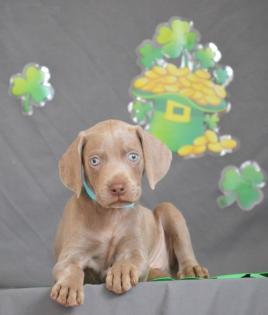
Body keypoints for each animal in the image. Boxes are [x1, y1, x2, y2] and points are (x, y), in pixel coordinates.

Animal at [50, 119, 209, 308]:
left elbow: (130, 260)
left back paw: (192, 268)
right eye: (94, 161)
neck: (110, 216)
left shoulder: (135, 251)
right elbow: (71, 267)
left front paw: (121, 272)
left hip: (168, 209)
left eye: (133, 156)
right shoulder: (71, 254)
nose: (118, 187)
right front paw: (68, 287)